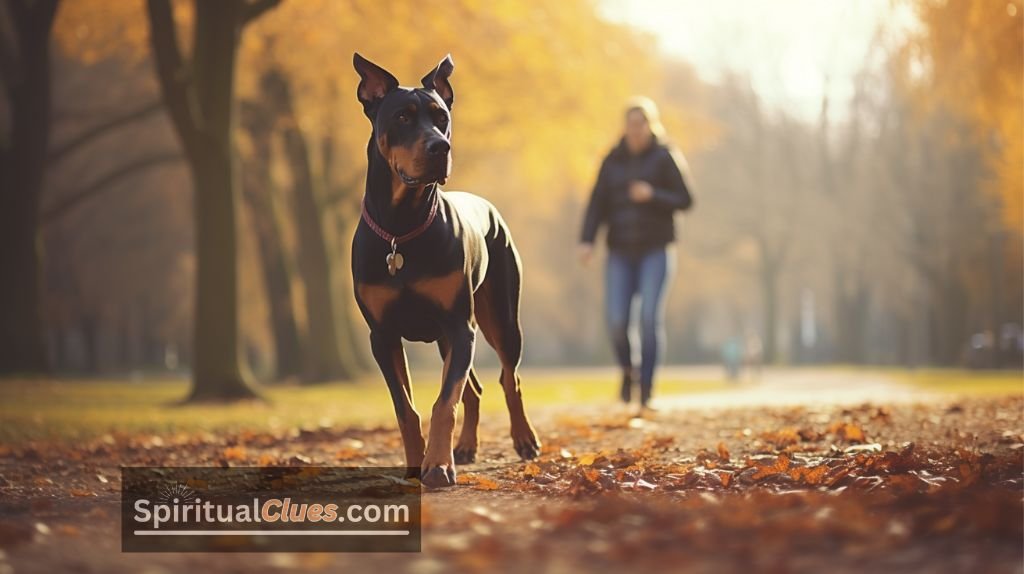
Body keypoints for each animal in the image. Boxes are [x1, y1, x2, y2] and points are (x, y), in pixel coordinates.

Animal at [352, 53, 544, 484]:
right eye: (402, 117)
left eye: (442, 117)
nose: (441, 147)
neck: (401, 228)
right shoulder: (382, 335)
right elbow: (406, 408)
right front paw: (417, 462)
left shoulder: (459, 324)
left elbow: (444, 403)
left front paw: (437, 465)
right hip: (445, 335)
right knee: (473, 389)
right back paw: (467, 447)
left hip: (498, 317)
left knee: (509, 377)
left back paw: (524, 439)